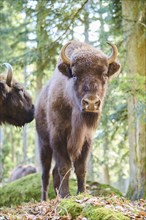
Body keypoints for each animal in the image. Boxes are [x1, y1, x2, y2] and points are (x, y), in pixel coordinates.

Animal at [35, 40, 121, 200]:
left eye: (105, 75)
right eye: (74, 75)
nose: (91, 103)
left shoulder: (86, 139)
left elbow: (80, 167)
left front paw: (81, 192)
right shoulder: (58, 137)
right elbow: (65, 167)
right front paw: (66, 194)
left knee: (54, 172)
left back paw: (58, 195)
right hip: (43, 144)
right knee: (45, 173)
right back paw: (45, 199)